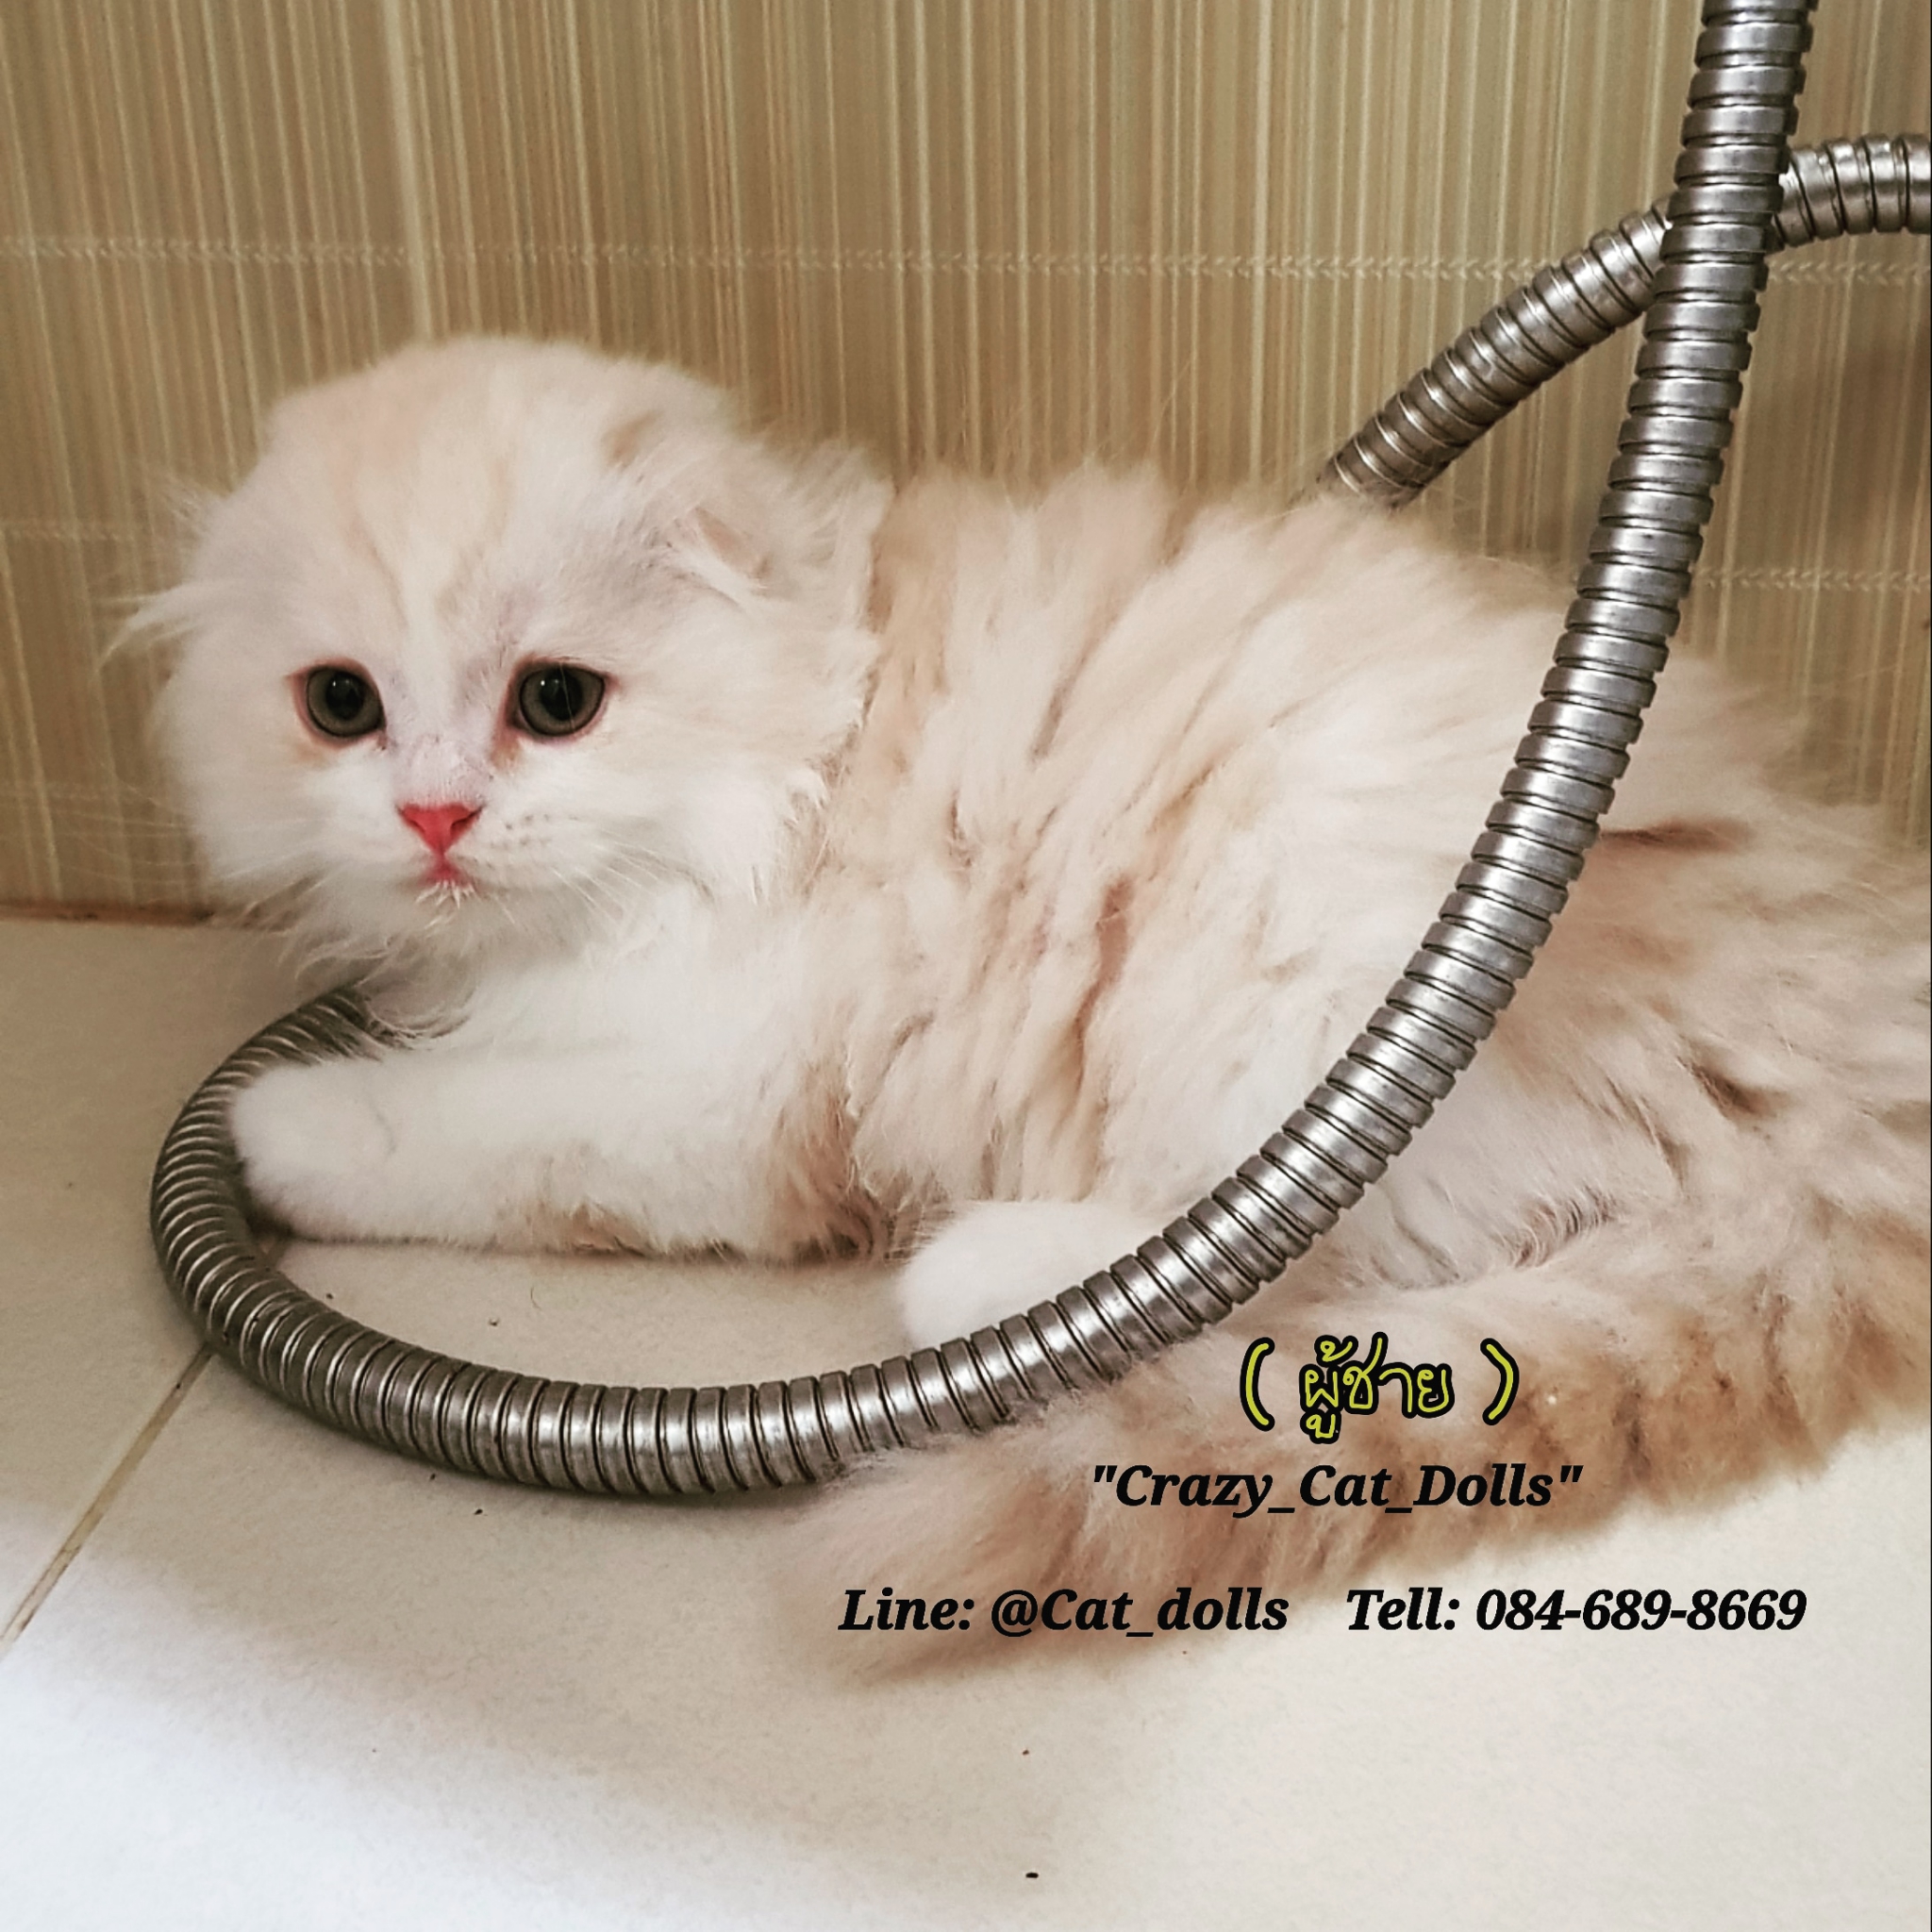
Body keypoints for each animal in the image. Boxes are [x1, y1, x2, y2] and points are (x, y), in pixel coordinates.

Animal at [145, 335, 1929, 1628]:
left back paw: (977, 1281)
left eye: (556, 700)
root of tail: (1849, 995)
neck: (812, 732)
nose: (434, 816)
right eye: (339, 705)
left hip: (1310, 982)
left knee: (1310, 1266)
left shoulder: (716, 1095)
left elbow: (464, 1132)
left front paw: (281, 1124)